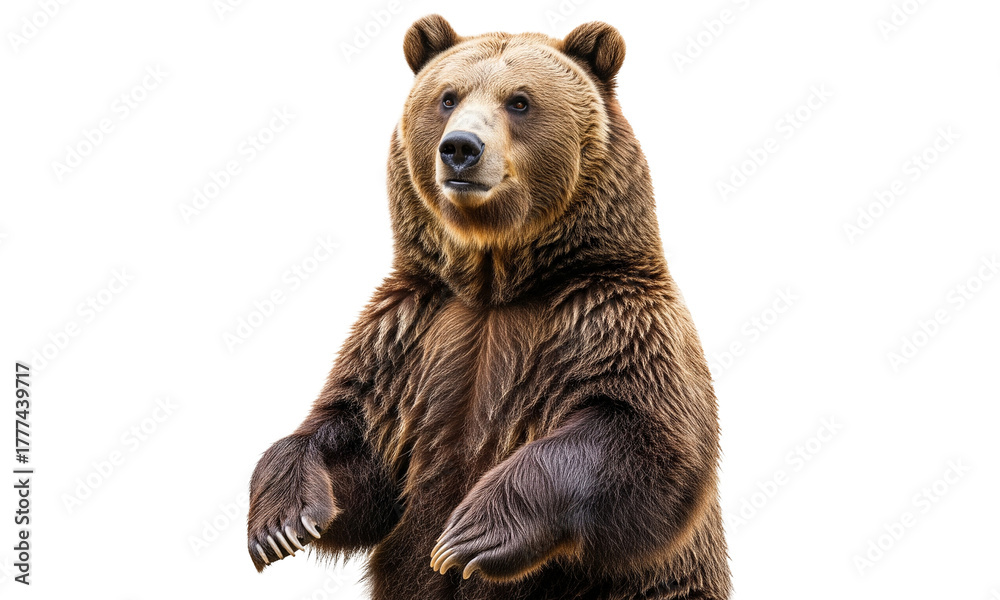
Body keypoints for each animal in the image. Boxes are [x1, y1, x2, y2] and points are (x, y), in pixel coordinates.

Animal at [247, 14, 732, 600]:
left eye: (519, 101)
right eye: (447, 97)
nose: (460, 147)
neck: (493, 282)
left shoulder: (607, 317)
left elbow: (644, 437)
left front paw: (469, 536)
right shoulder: (410, 334)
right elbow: (362, 440)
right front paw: (280, 522)